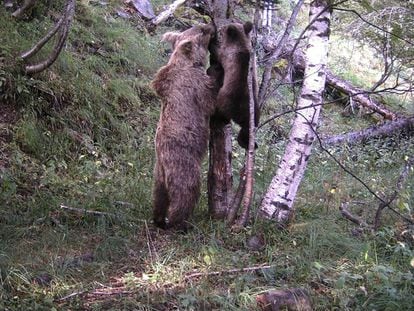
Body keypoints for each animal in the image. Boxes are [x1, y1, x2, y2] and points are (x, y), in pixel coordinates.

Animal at [152, 25, 217, 232]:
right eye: (202, 31)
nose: (211, 26)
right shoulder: (195, 86)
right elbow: (211, 101)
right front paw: (217, 71)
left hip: (158, 174)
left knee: (159, 197)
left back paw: (158, 219)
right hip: (183, 164)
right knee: (185, 192)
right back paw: (179, 223)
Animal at [210, 22, 258, 150]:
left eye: (224, 28)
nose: (220, 28)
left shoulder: (227, 54)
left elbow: (217, 52)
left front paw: (211, 42)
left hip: (225, 98)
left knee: (220, 112)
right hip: (254, 109)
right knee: (250, 127)